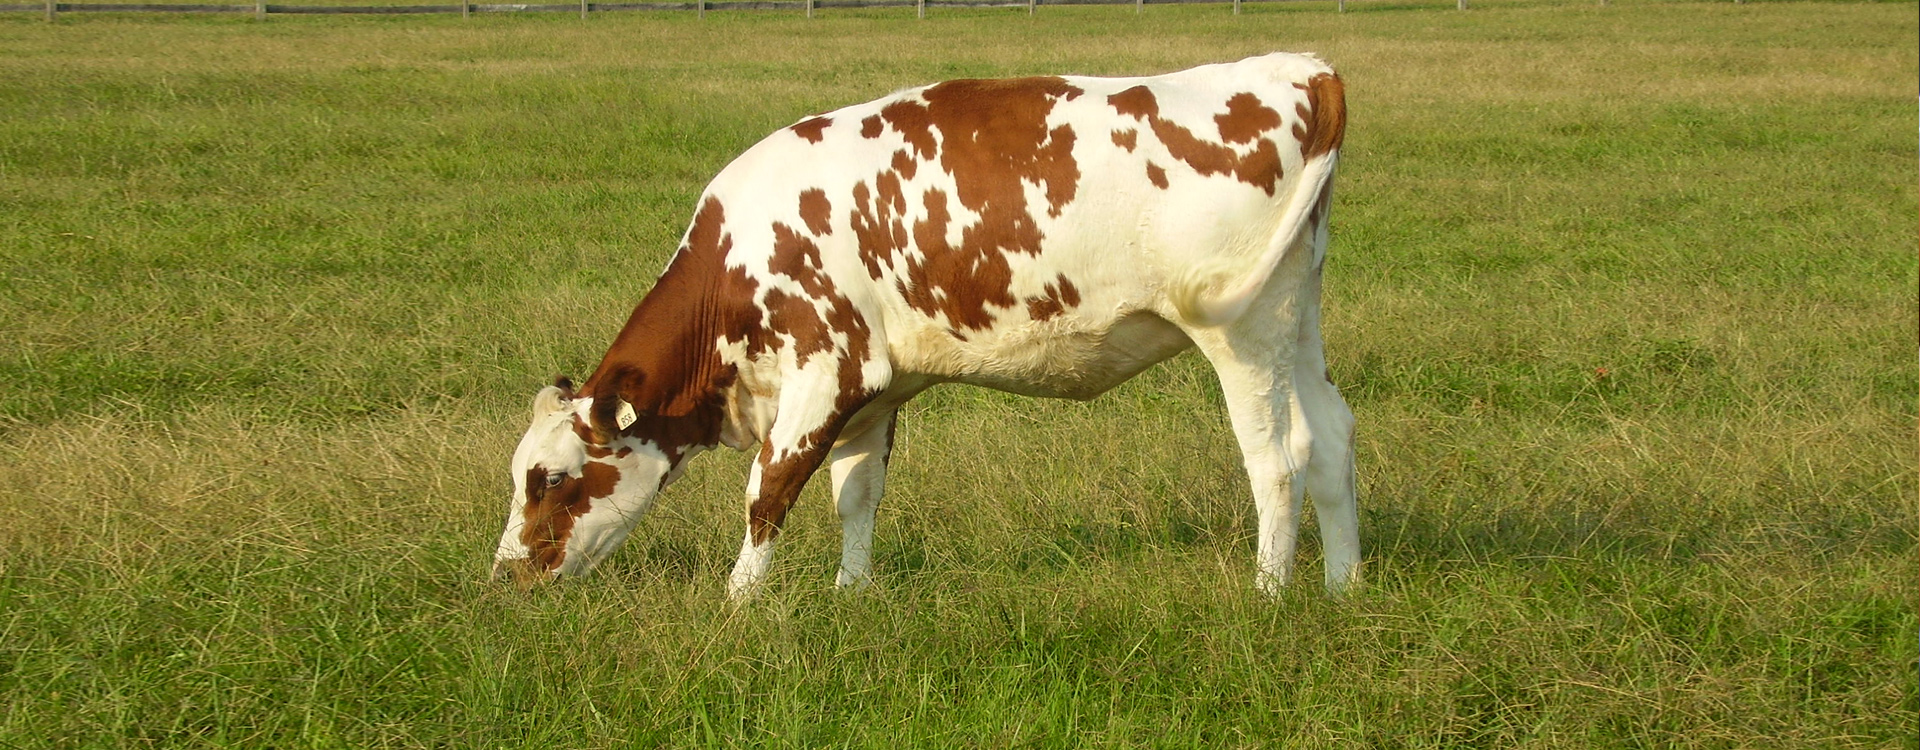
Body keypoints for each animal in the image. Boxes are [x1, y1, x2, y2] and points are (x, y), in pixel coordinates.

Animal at [495, 52, 1367, 602]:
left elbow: (767, 492)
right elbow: (856, 494)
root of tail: (1297, 68)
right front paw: (852, 594)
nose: (505, 574)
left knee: (1278, 457)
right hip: (1298, 315)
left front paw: (736, 604)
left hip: (1242, 331)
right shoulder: (877, 386)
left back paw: (1269, 594)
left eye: (554, 478)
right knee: (1331, 436)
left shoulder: (826, 370)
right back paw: (1342, 584)